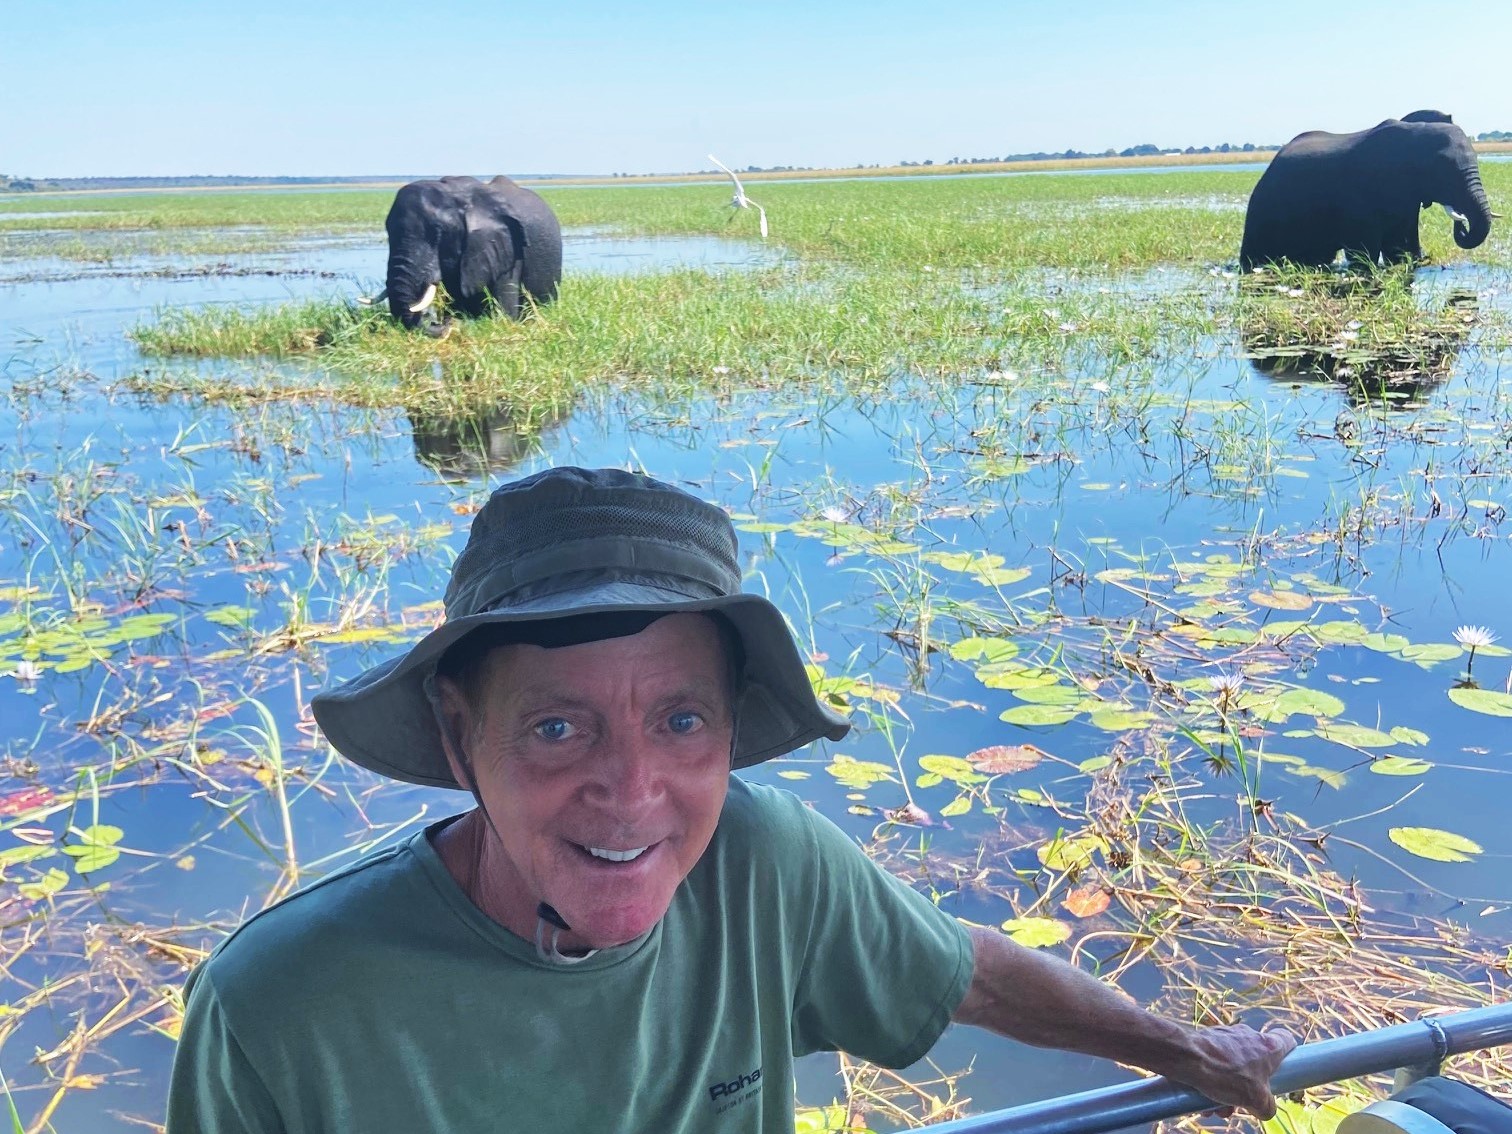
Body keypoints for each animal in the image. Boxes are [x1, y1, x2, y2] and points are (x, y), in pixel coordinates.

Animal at [1233, 111, 1493, 273]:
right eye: (1443, 168)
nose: (1461, 222)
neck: (1414, 134)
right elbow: (1364, 253)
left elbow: (1399, 248)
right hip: (1262, 208)